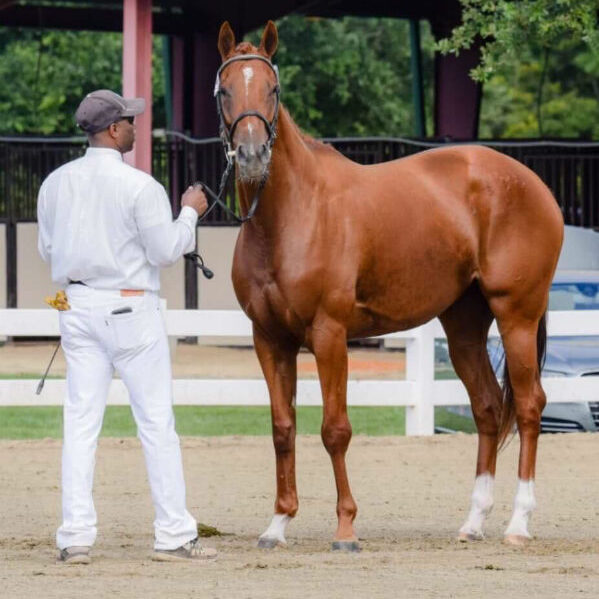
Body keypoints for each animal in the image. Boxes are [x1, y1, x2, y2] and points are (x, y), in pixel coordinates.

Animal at [216, 19, 564, 552]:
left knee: (528, 406)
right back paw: (474, 522)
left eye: (273, 88)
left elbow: (334, 429)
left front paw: (345, 529)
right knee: (487, 407)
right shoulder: (269, 339)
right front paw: (277, 524)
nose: (253, 157)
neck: (290, 216)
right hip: (465, 326)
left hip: (517, 316)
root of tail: (532, 184)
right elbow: (282, 428)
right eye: (226, 89)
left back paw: (518, 524)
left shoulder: (329, 335)